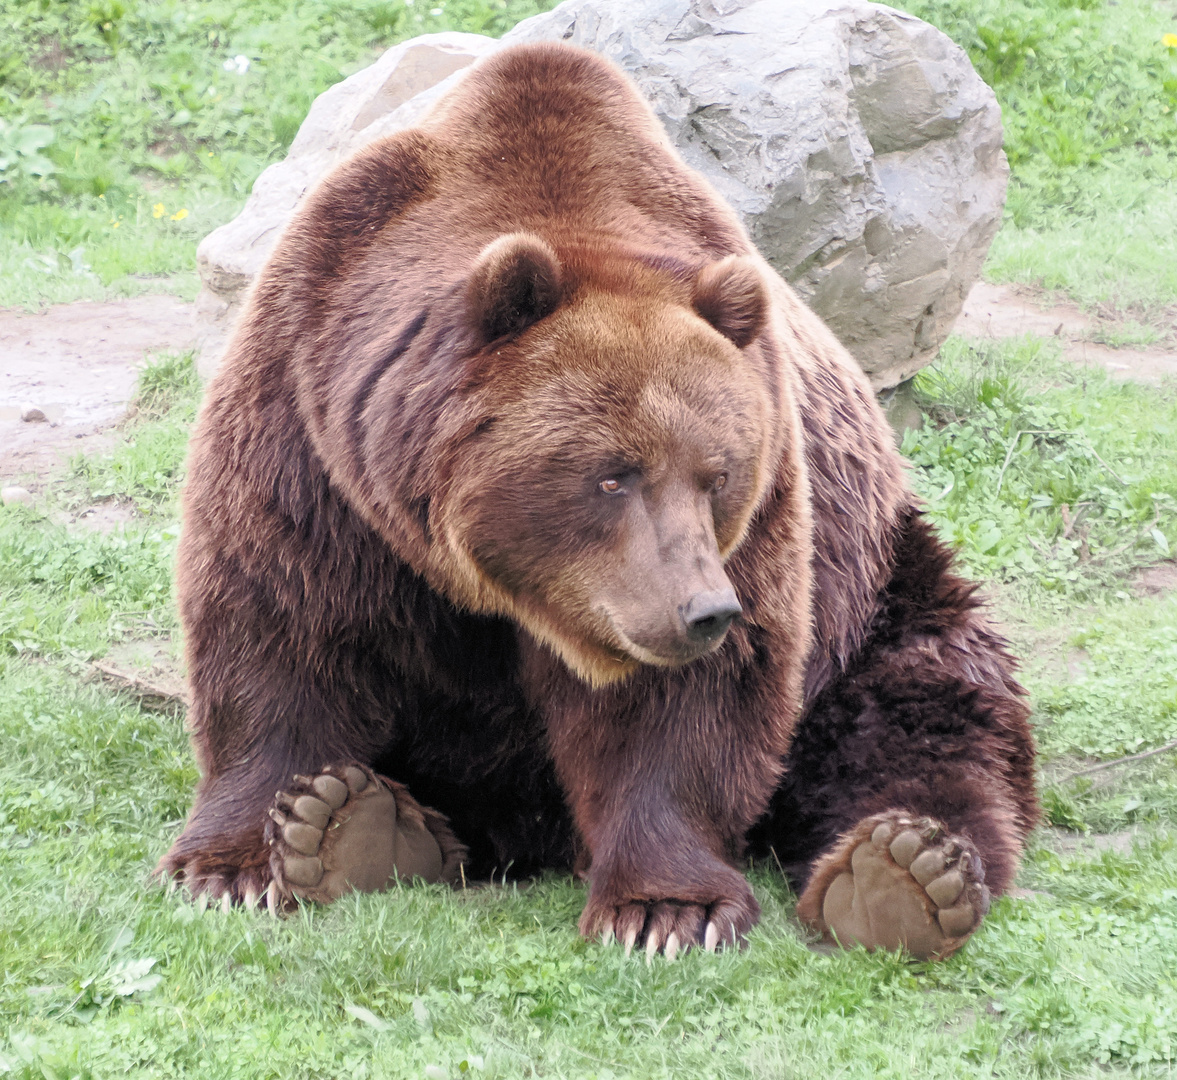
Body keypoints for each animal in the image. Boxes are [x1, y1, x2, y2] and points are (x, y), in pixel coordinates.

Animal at [158, 40, 1040, 964]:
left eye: (716, 474)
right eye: (614, 474)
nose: (704, 610)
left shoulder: (751, 521)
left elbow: (678, 710)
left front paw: (664, 909)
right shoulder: (315, 430)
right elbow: (280, 626)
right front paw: (239, 861)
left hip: (874, 588)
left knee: (924, 709)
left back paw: (903, 871)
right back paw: (362, 826)